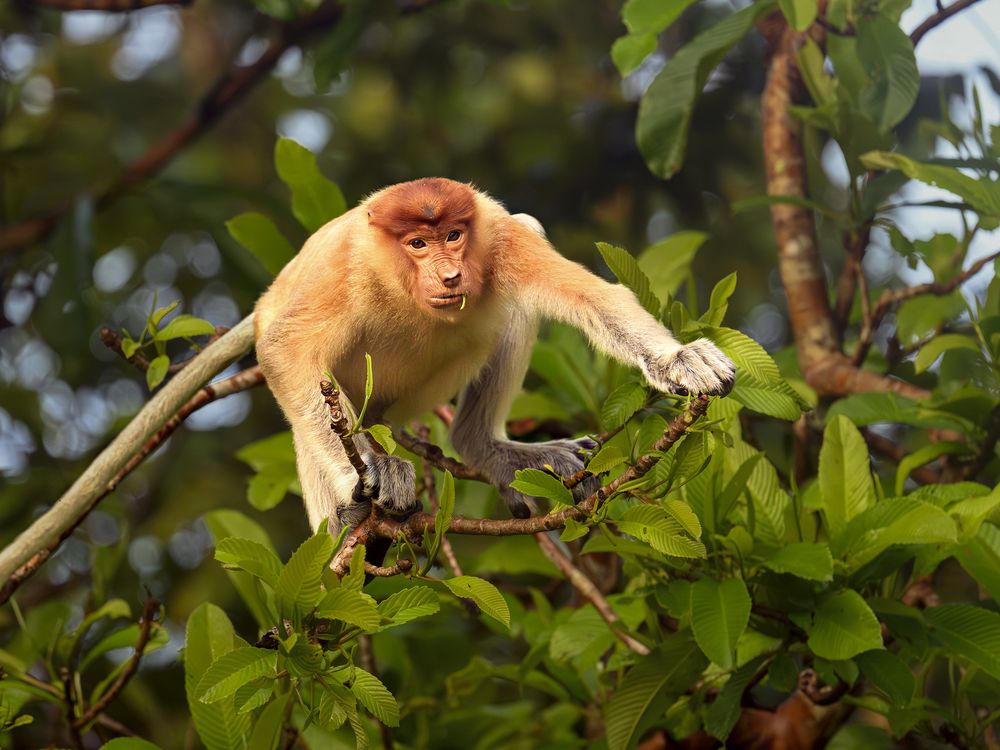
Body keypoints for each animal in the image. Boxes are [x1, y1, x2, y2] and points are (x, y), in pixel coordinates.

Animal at [253, 178, 736, 533]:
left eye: (453, 235)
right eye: (417, 244)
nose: (450, 276)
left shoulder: (502, 238)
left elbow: (595, 298)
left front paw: (681, 360)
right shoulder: (347, 265)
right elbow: (284, 349)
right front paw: (372, 475)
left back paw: (488, 448)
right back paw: (344, 523)